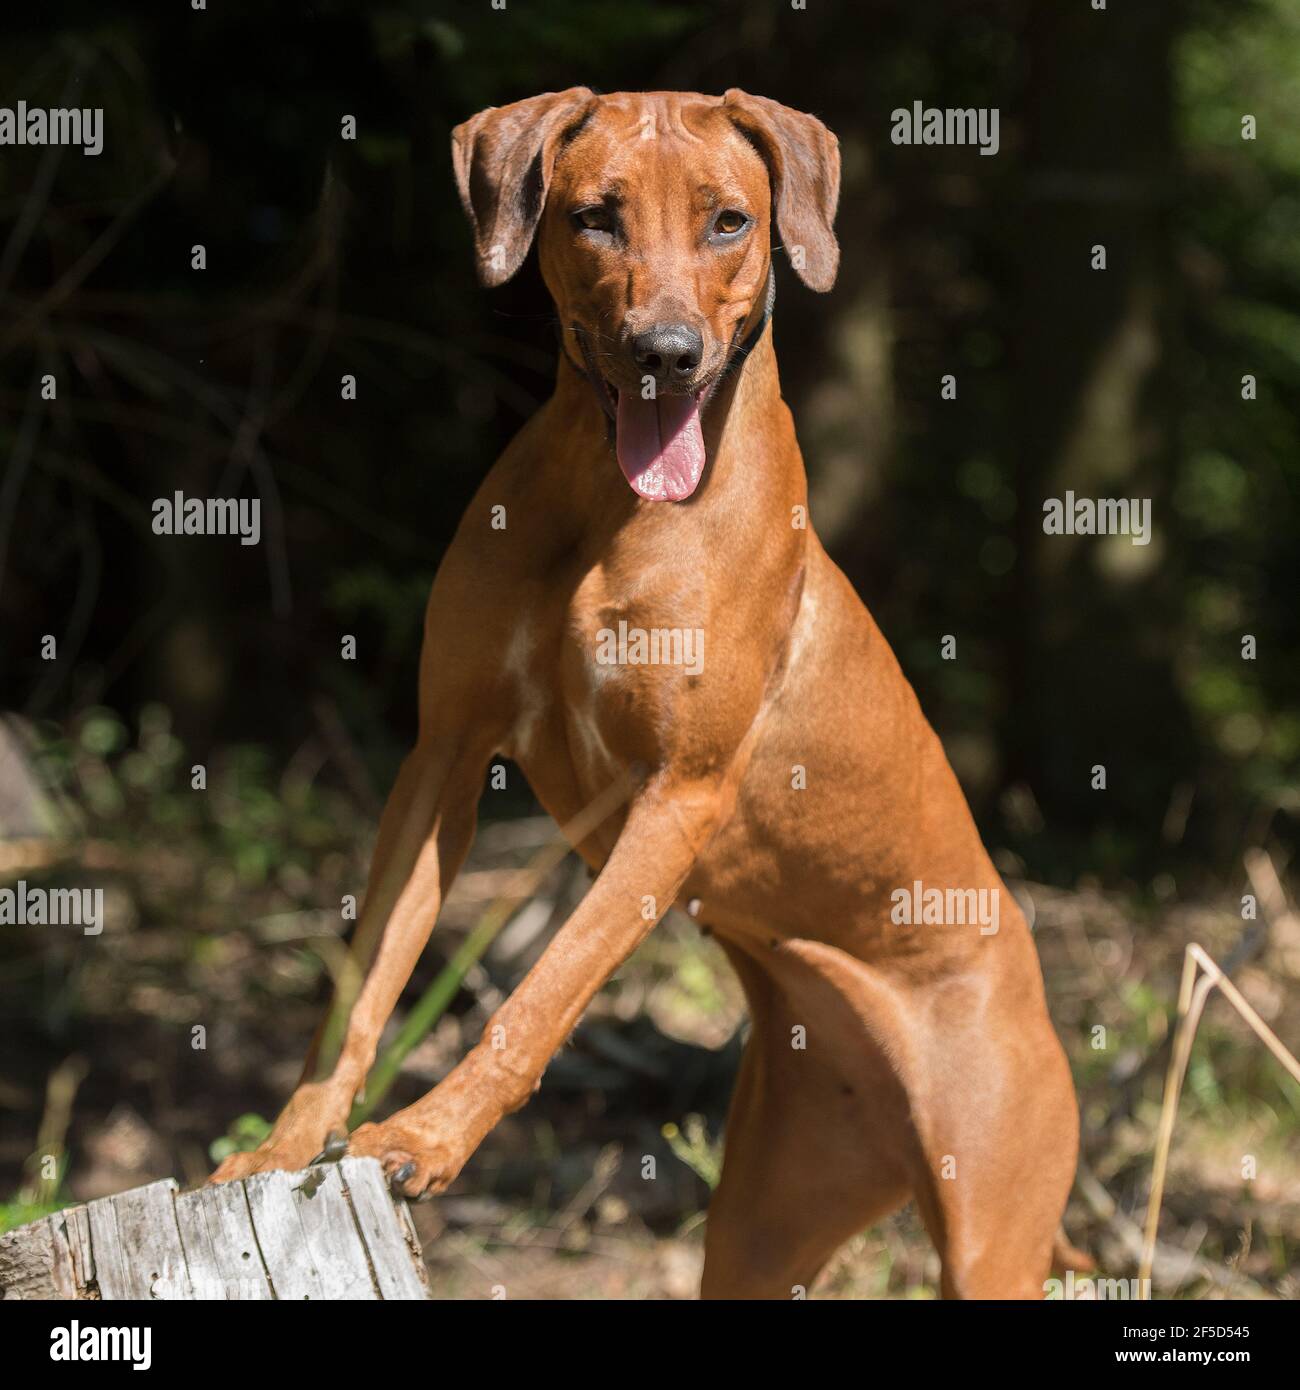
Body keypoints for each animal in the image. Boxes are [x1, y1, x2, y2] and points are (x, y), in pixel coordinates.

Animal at [214, 89, 1084, 1301]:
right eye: (595, 216)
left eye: (728, 221)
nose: (665, 355)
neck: (608, 500)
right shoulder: (443, 755)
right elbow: (364, 983)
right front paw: (287, 1144)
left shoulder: (678, 795)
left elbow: (541, 993)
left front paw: (427, 1137)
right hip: (765, 1217)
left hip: (993, 1214)